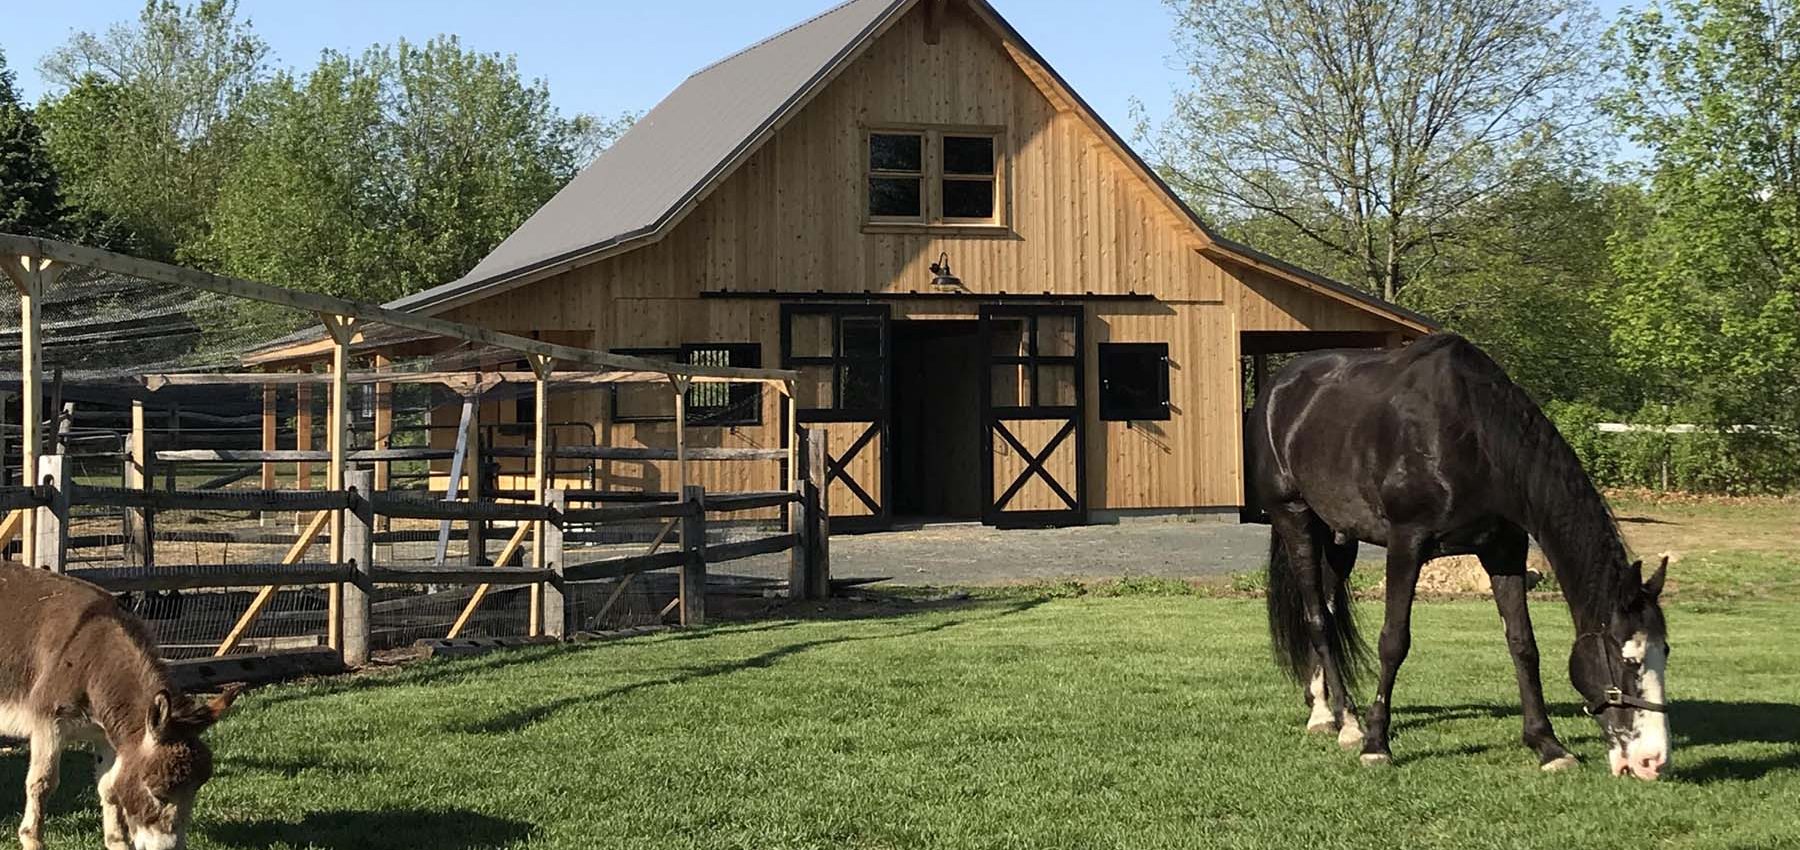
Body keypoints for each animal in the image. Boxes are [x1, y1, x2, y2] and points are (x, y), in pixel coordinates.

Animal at [1, 563, 239, 849]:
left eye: (198, 788)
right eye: (157, 793)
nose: (171, 848)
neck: (93, 660)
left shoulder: (107, 734)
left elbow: (110, 788)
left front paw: (117, 841)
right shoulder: (49, 723)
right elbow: (42, 782)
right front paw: (32, 840)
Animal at [1247, 334, 1671, 780]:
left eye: (1665, 652)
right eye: (1628, 660)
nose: (1652, 761)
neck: (1475, 439)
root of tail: (1277, 390)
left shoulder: (1505, 550)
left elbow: (1523, 644)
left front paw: (1548, 745)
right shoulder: (1407, 541)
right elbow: (1393, 641)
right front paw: (1376, 744)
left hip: (1339, 537)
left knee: (1326, 611)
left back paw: (1323, 711)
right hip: (1295, 518)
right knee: (1316, 618)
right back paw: (1346, 722)